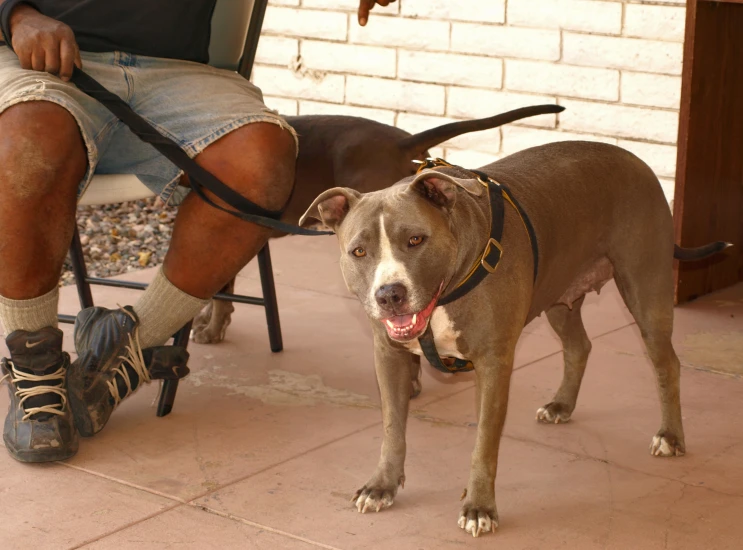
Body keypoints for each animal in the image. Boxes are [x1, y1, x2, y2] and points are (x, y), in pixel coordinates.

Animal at [300, 141, 728, 540]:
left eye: (416, 240)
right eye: (358, 251)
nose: (390, 294)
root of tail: (636, 160)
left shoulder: (493, 364)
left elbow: (484, 444)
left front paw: (479, 508)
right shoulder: (388, 356)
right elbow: (392, 428)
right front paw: (382, 485)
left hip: (645, 289)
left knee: (666, 363)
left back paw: (670, 436)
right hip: (560, 294)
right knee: (579, 346)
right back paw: (561, 405)